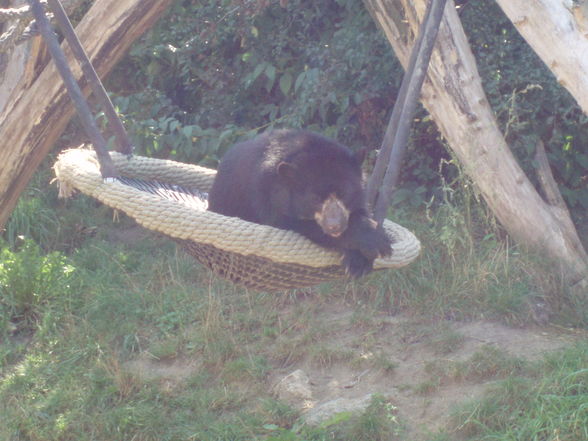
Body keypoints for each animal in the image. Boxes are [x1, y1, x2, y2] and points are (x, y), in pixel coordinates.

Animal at [207, 129, 390, 276]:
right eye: (315, 199)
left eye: (344, 194)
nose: (335, 226)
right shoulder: (266, 193)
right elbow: (292, 223)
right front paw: (375, 243)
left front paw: (359, 262)